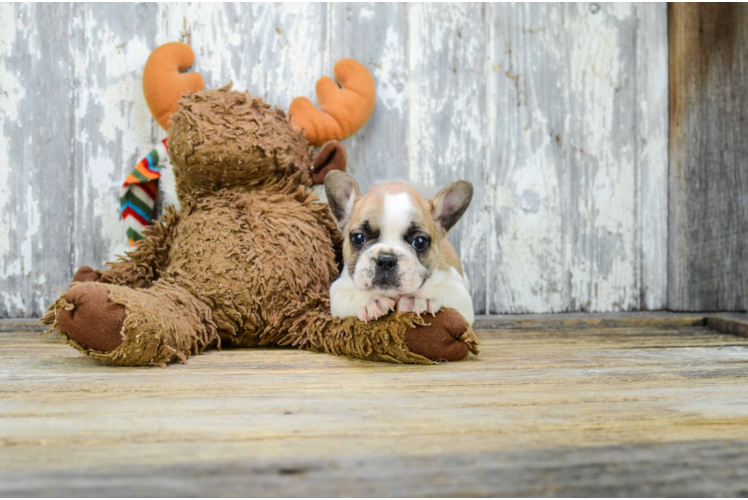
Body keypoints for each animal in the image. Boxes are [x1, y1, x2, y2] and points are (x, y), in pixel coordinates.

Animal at [322, 172, 474, 326]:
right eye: (358, 238)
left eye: (420, 242)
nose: (386, 259)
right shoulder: (337, 291)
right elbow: (347, 296)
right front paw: (371, 300)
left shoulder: (461, 296)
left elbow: (443, 289)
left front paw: (419, 298)